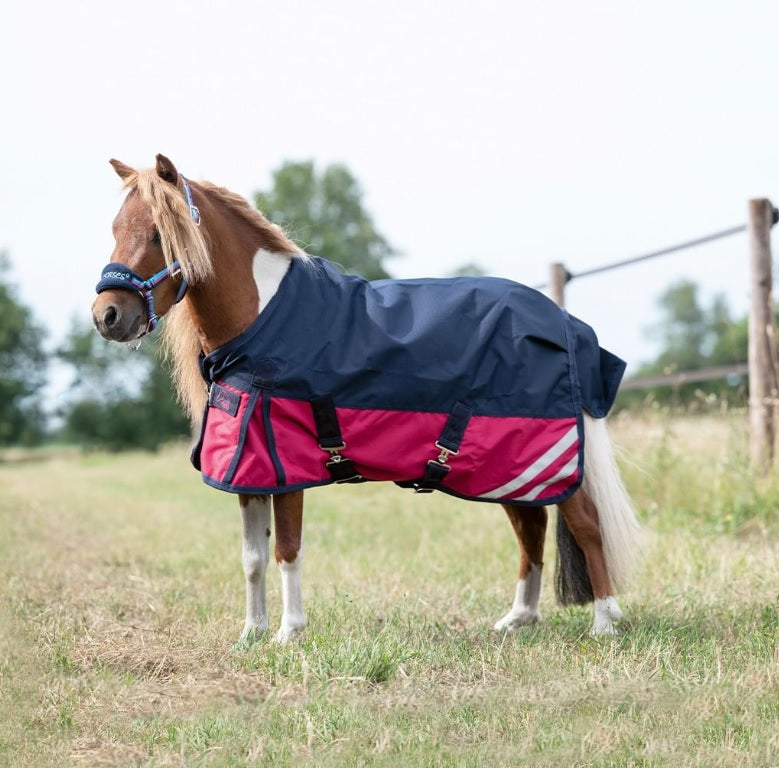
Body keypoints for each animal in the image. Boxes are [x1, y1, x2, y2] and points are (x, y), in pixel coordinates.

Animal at [92, 154, 642, 643]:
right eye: (116, 228)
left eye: (161, 233)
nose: (107, 316)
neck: (263, 321)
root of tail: (566, 325)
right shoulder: (248, 469)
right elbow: (252, 558)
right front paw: (252, 633)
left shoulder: (286, 467)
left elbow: (286, 550)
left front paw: (289, 633)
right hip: (507, 464)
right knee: (531, 527)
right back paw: (518, 620)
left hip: (548, 457)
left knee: (587, 525)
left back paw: (603, 622)